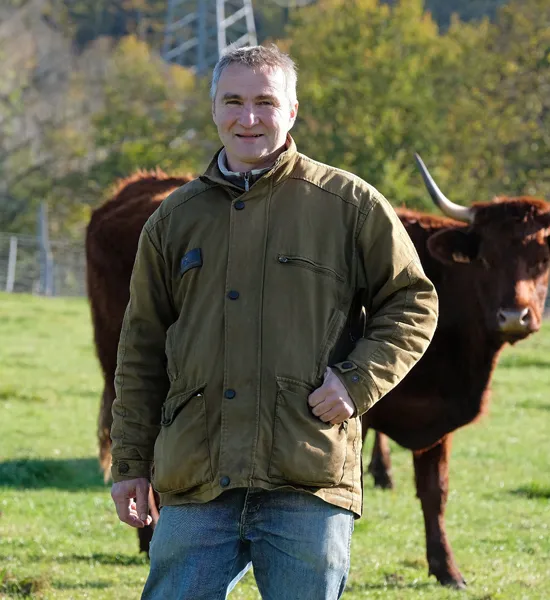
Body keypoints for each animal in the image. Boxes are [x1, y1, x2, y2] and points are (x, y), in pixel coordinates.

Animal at [362, 155, 550, 584]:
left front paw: (446, 568)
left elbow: (436, 491)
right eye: (486, 259)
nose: (513, 316)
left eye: (542, 260)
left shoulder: (438, 415)